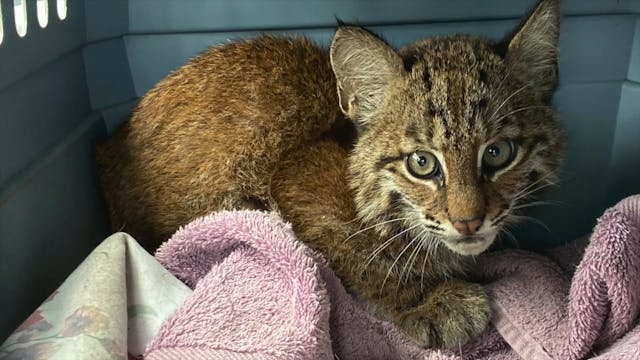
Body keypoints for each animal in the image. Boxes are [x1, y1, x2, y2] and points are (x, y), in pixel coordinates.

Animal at [95, 0, 560, 348]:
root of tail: (105, 146)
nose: (468, 222)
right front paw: (431, 302)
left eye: (498, 153)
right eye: (422, 163)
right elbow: (363, 260)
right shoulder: (294, 181)